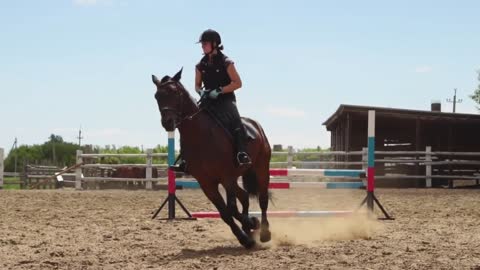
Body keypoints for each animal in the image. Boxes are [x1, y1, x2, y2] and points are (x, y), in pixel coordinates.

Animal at [152, 68, 272, 249]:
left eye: (175, 92)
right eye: (157, 96)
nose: (168, 122)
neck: (200, 136)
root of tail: (256, 125)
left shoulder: (226, 177)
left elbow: (231, 209)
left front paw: (250, 227)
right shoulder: (207, 183)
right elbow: (225, 213)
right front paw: (246, 235)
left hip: (260, 168)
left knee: (263, 199)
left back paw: (264, 232)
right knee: (244, 196)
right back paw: (250, 228)